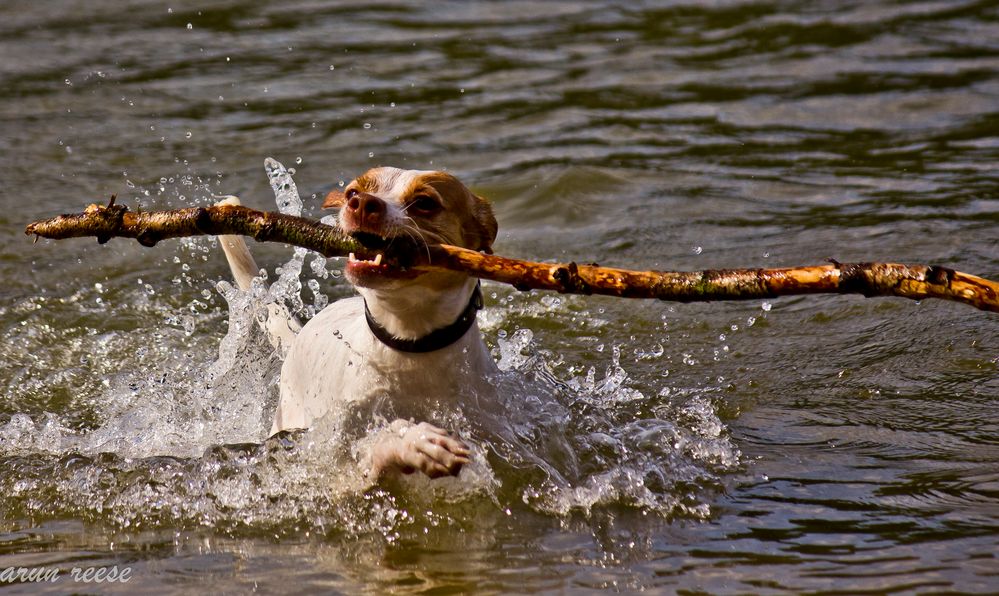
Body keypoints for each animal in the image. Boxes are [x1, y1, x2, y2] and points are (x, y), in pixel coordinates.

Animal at [220, 166, 500, 480]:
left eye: (425, 202)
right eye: (353, 192)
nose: (363, 203)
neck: (409, 343)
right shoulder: (334, 463)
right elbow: (376, 443)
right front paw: (414, 442)